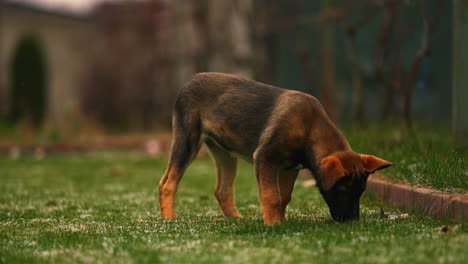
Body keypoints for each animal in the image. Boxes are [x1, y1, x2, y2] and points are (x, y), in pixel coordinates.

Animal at [159, 72, 394, 225]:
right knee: (168, 183)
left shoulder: (290, 168)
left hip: (225, 154)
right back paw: (170, 218)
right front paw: (273, 226)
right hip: (187, 142)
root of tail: (188, 82)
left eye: (361, 191)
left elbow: (284, 197)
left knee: (222, 190)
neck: (309, 128)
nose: (352, 221)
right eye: (343, 189)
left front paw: (280, 221)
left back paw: (237, 219)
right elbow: (271, 196)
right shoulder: (265, 159)